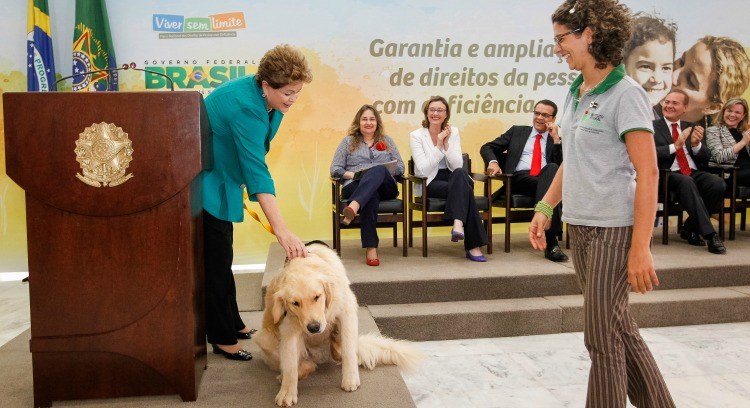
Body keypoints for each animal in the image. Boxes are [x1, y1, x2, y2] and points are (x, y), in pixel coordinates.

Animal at [256, 242, 426, 404]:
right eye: (295, 303)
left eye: (317, 297)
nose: (314, 328)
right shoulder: (290, 327)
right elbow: (290, 366)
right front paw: (287, 393)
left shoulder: (347, 311)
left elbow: (349, 351)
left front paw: (350, 379)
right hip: (265, 337)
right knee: (306, 365)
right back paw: (287, 375)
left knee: (339, 351)